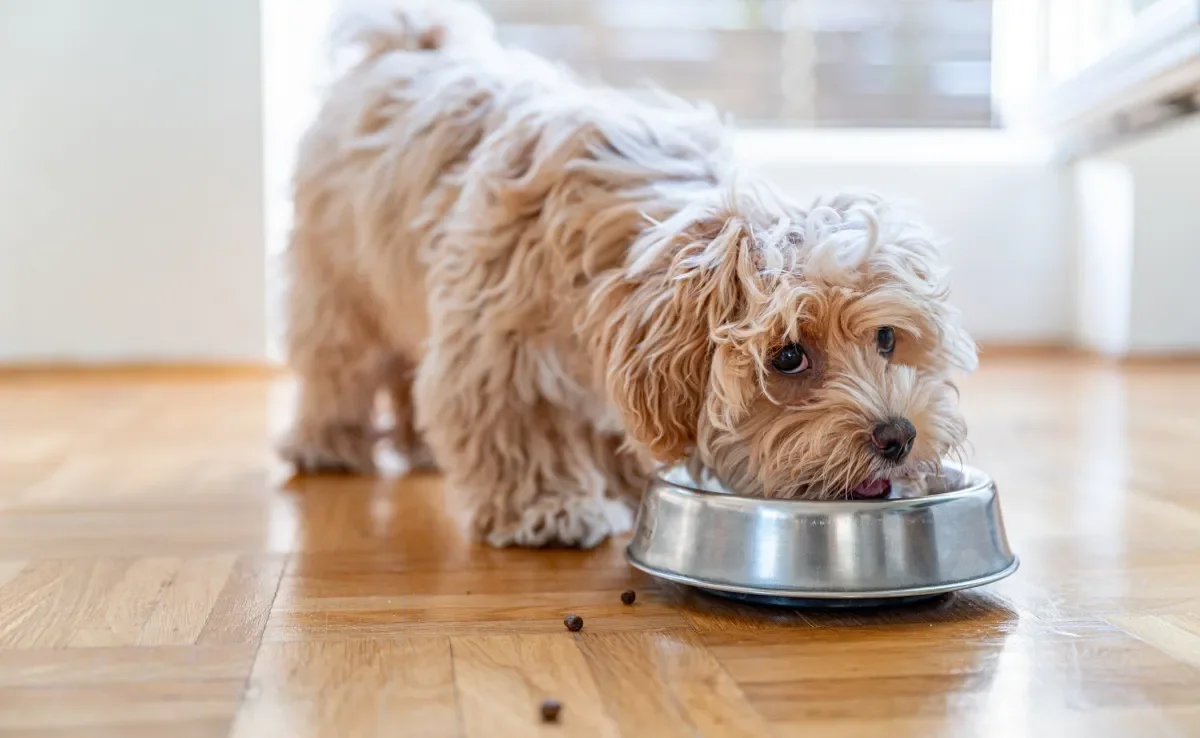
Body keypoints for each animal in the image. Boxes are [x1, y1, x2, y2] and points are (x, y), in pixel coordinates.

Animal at [278, 0, 974, 549]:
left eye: (886, 338)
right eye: (788, 357)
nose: (898, 436)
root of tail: (407, 43)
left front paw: (628, 479)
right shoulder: (497, 345)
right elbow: (516, 423)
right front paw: (549, 507)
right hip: (339, 279)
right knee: (338, 361)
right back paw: (328, 441)